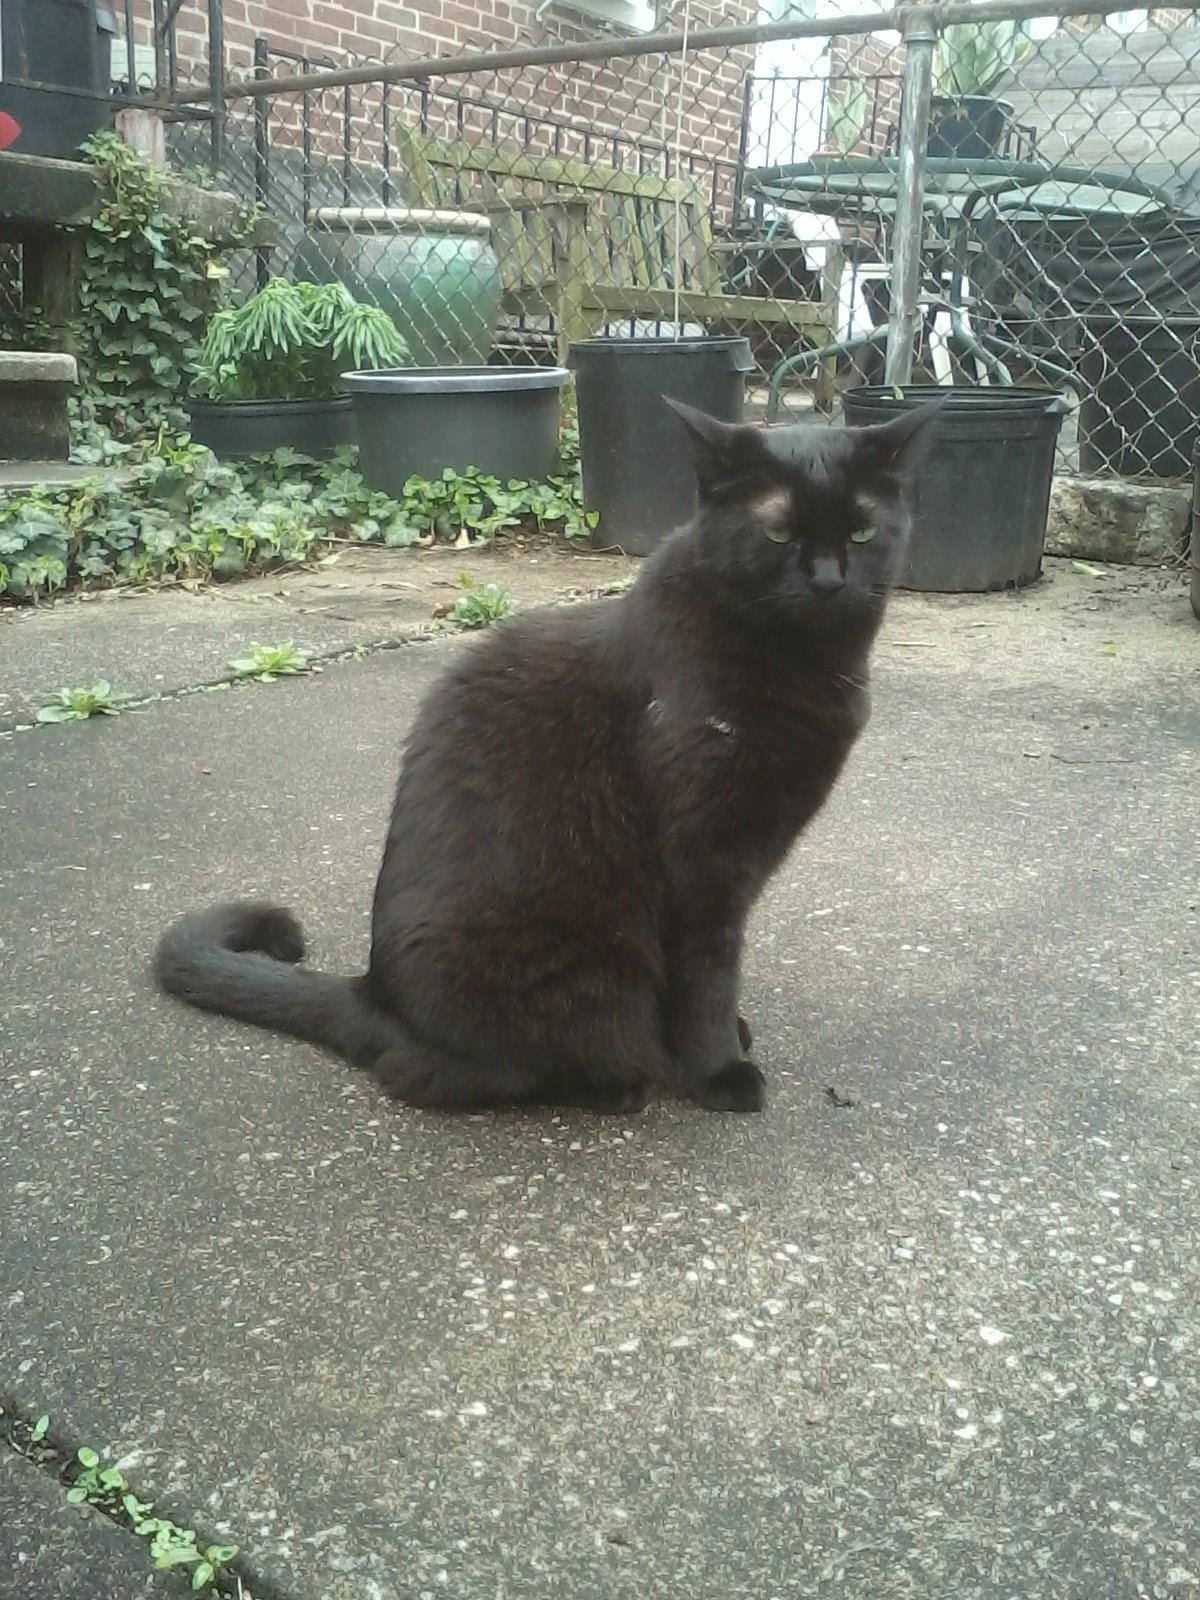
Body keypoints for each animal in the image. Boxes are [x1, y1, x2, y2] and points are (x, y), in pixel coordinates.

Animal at [153, 394, 942, 1115]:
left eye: (863, 528)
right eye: (777, 529)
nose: (830, 579)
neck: (801, 667)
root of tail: (373, 996)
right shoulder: (703, 865)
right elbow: (708, 978)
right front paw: (719, 1070)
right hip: (578, 974)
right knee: (462, 1073)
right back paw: (617, 1083)